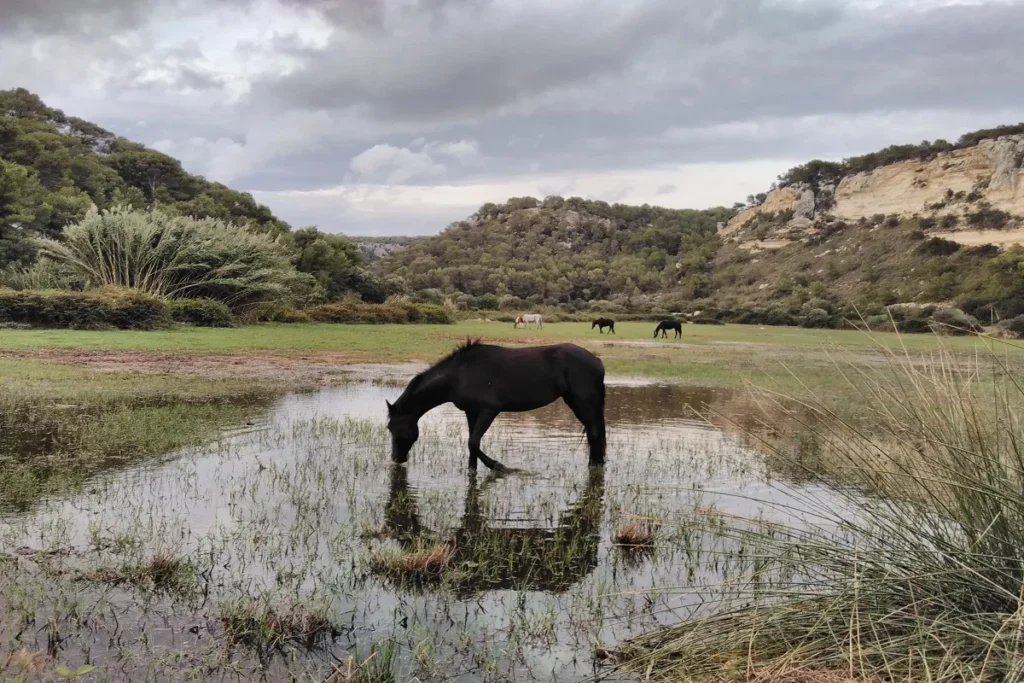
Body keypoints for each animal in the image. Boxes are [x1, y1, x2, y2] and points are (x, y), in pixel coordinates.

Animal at [386, 339, 606, 471]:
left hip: (581, 402)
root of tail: (597, 361)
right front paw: (472, 471)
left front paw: (499, 466)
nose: (396, 458)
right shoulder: (471, 412)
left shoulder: (488, 411)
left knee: (594, 433)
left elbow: (473, 443)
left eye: (393, 427)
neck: (459, 375)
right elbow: (472, 444)